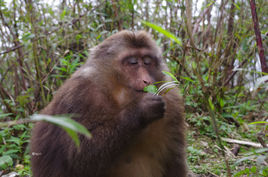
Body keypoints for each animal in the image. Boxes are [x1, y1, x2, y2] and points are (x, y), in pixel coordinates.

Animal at [30, 30, 186, 177]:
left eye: (147, 62)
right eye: (133, 62)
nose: (146, 80)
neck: (118, 93)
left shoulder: (172, 100)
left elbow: (174, 160)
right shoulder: (80, 95)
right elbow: (80, 156)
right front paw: (141, 110)